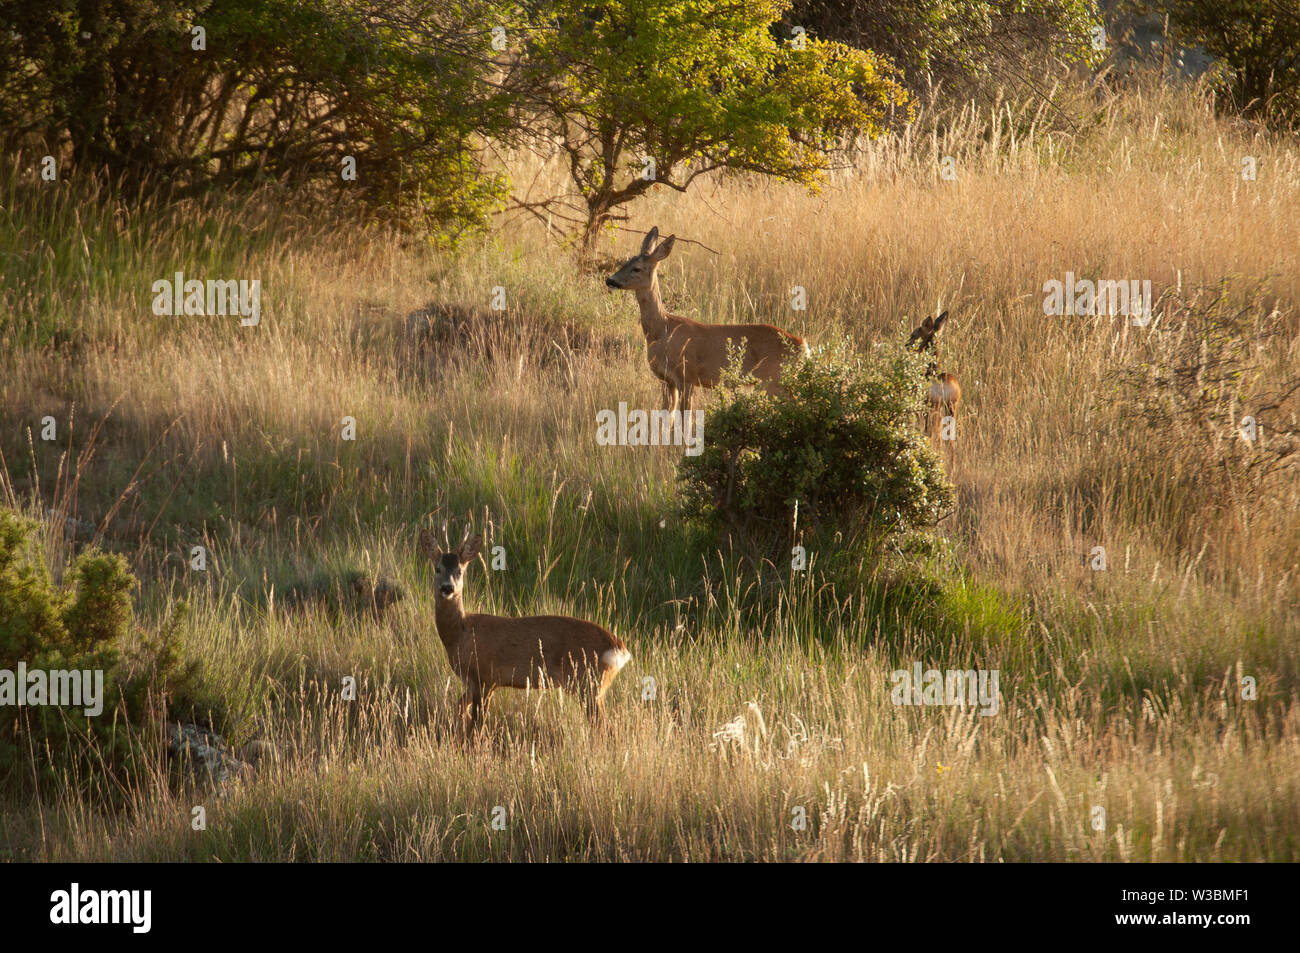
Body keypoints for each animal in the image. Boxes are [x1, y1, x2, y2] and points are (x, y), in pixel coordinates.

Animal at [419, 529, 631, 734]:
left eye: (460, 571)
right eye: (437, 569)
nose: (448, 588)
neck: (460, 635)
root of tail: (620, 649)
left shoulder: (484, 676)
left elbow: (477, 726)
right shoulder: (473, 683)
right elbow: (461, 710)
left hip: (589, 684)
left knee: (607, 729)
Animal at [605, 226, 809, 414]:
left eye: (636, 268)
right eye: (625, 262)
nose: (610, 280)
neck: (662, 330)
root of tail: (803, 346)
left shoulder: (687, 376)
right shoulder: (666, 380)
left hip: (774, 380)